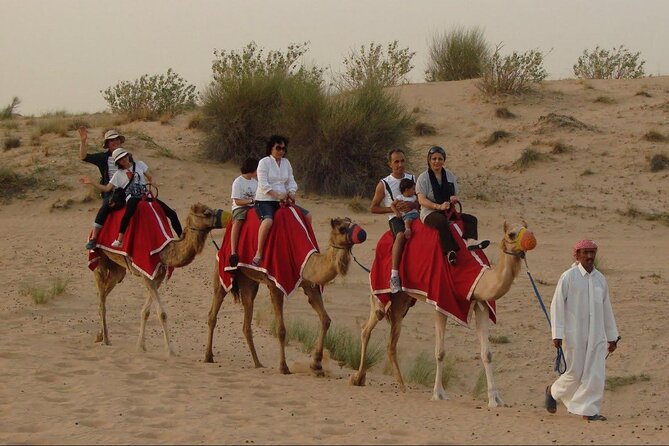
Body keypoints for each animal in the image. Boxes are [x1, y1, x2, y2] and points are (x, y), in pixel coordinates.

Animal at [92, 203, 226, 355]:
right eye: (207, 213)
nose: (225, 216)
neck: (163, 251)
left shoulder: (158, 277)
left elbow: (146, 311)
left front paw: (141, 346)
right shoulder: (146, 274)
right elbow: (162, 314)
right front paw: (170, 350)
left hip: (118, 270)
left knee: (104, 293)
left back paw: (99, 335)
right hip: (100, 260)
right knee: (101, 297)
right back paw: (105, 339)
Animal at [205, 217, 365, 375]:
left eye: (352, 222)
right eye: (342, 228)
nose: (362, 234)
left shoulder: (309, 284)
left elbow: (326, 320)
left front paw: (317, 365)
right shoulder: (275, 285)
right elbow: (281, 329)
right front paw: (284, 367)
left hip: (248, 281)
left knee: (246, 321)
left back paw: (258, 363)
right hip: (222, 271)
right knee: (213, 312)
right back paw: (208, 356)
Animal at [350, 220, 537, 407]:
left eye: (528, 230)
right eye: (512, 234)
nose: (531, 240)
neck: (473, 277)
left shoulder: (481, 304)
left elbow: (487, 354)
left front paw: (495, 400)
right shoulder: (441, 302)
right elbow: (440, 352)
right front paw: (438, 394)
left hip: (401, 301)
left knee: (391, 342)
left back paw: (401, 386)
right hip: (380, 292)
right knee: (368, 327)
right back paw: (358, 378)